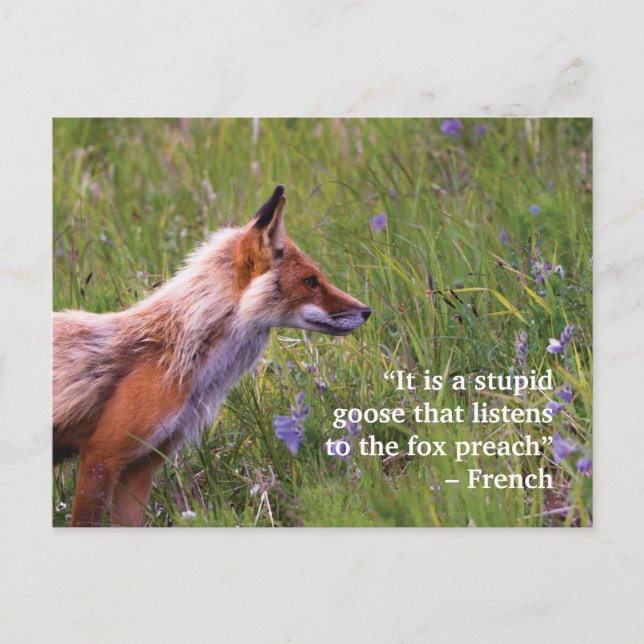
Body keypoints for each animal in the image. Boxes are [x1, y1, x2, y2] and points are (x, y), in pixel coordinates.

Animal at [53, 185, 370, 527]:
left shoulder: (142, 465)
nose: (367, 311)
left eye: (318, 277)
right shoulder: (101, 456)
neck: (177, 355)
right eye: (310, 281)